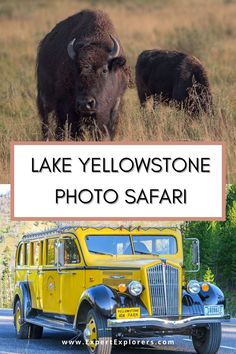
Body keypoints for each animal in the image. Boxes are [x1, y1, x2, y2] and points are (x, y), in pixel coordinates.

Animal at [36, 10, 130, 140]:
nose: (85, 103)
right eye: (77, 69)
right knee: (48, 125)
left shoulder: (114, 106)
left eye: (104, 70)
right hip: (45, 102)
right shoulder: (68, 107)